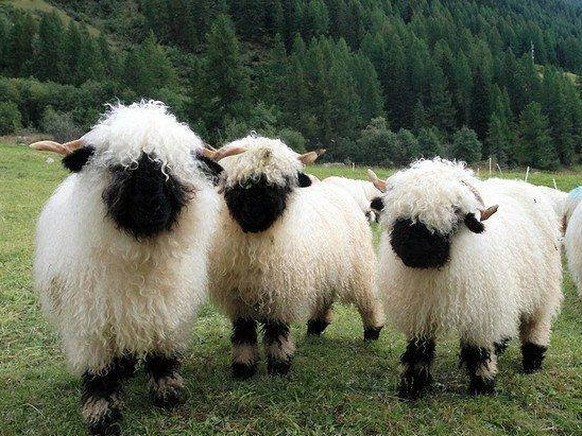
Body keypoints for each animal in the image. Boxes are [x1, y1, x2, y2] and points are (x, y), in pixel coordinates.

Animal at [31, 101, 220, 435]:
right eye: (120, 168)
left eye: (171, 170)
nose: (151, 208)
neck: (139, 257)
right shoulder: (91, 323)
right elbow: (99, 373)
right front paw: (102, 414)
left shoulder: (166, 311)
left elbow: (162, 354)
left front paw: (167, 393)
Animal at [206, 135, 384, 378]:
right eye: (242, 184)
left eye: (280, 184)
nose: (255, 214)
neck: (256, 243)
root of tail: (336, 188)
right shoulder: (238, 295)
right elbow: (244, 332)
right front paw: (243, 367)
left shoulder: (280, 291)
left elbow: (276, 330)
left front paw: (279, 365)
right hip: (324, 270)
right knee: (325, 296)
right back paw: (315, 326)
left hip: (358, 267)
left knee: (368, 299)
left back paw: (373, 331)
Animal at [371, 158, 562, 398]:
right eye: (400, 210)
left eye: (455, 212)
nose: (415, 248)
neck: (434, 272)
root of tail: (519, 183)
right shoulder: (420, 311)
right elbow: (418, 350)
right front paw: (413, 387)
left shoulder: (479, 311)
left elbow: (477, 350)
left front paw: (483, 386)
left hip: (542, 290)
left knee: (536, 324)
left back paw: (533, 361)